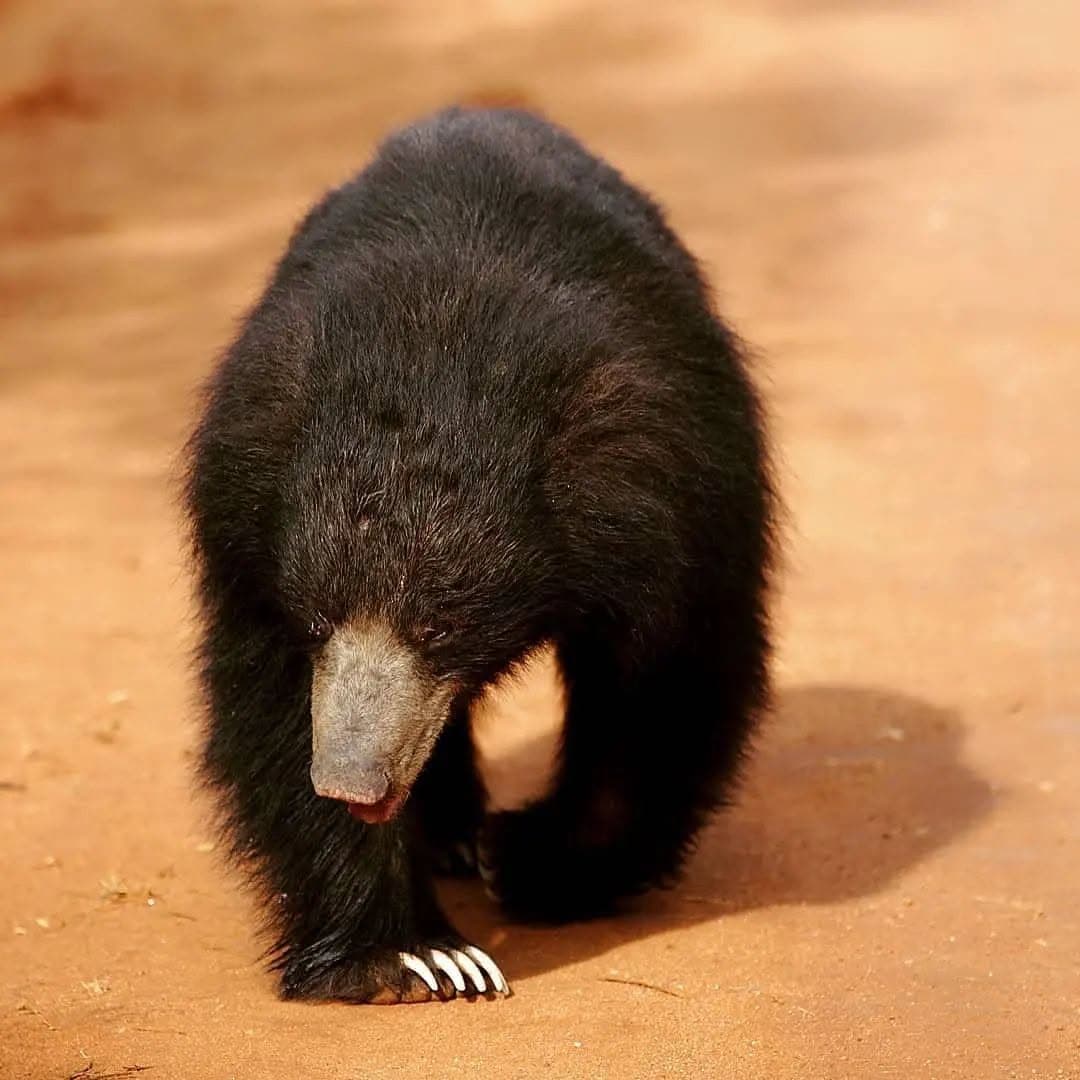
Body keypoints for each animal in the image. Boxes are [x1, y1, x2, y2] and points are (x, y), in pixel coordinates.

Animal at [183, 107, 775, 1004]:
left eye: (438, 628)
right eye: (319, 620)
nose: (354, 788)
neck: (441, 351)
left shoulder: (680, 500)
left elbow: (663, 680)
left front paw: (532, 862)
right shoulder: (245, 512)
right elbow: (269, 704)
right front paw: (419, 959)